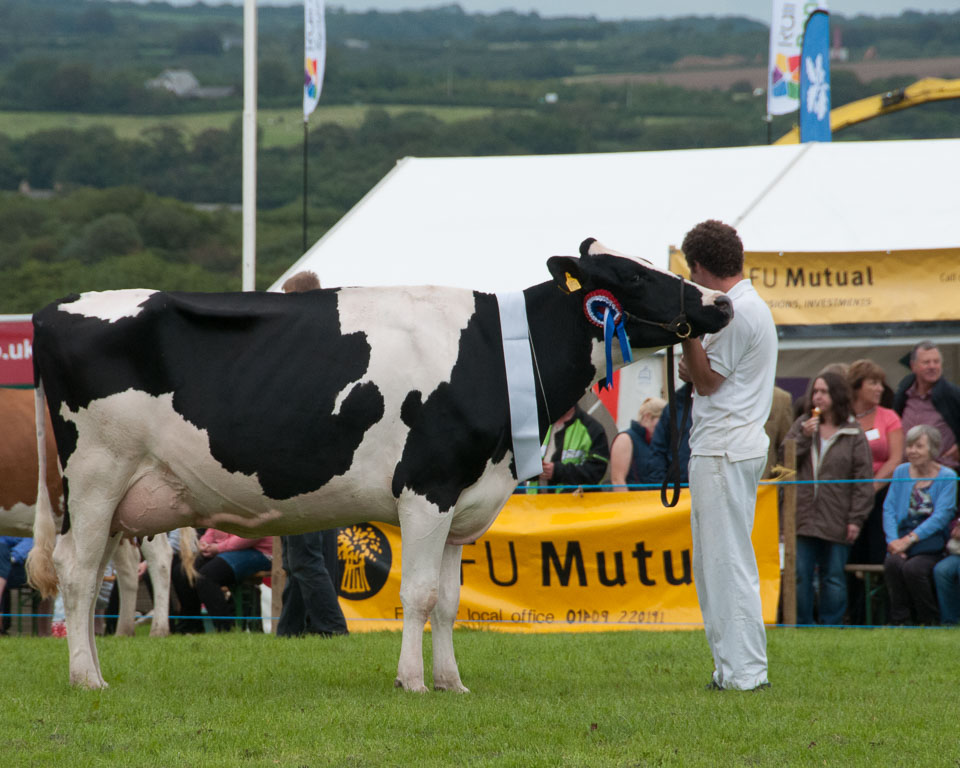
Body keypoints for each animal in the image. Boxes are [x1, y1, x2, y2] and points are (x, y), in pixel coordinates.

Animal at [31, 238, 736, 688]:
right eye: (632, 277)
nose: (722, 305)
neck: (497, 352)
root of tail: (54, 307)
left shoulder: (464, 499)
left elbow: (449, 601)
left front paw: (451, 683)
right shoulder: (427, 487)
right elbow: (418, 595)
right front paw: (412, 682)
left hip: (116, 499)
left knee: (95, 576)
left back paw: (95, 668)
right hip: (94, 478)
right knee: (77, 573)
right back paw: (87, 680)